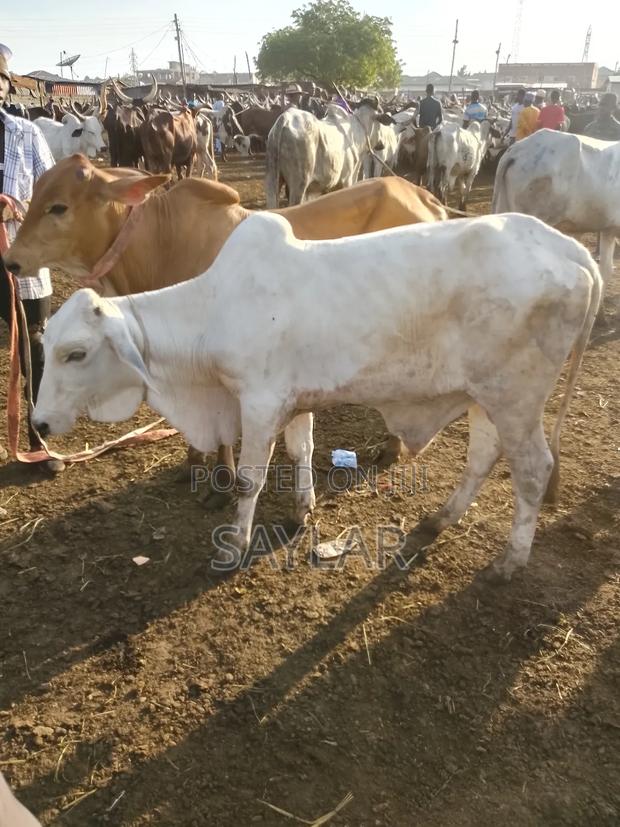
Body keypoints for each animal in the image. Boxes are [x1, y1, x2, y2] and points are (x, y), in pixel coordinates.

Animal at [31, 211, 601, 583]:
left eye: (75, 354)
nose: (38, 424)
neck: (215, 309)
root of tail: (569, 248)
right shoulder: (293, 400)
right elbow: (300, 451)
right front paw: (301, 512)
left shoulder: (259, 402)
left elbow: (250, 479)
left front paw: (234, 546)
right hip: (486, 396)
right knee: (484, 455)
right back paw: (441, 519)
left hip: (517, 398)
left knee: (533, 470)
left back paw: (510, 561)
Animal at [265, 100, 394, 207]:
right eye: (381, 124)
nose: (382, 144)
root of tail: (285, 119)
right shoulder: (346, 181)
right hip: (299, 185)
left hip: (273, 180)